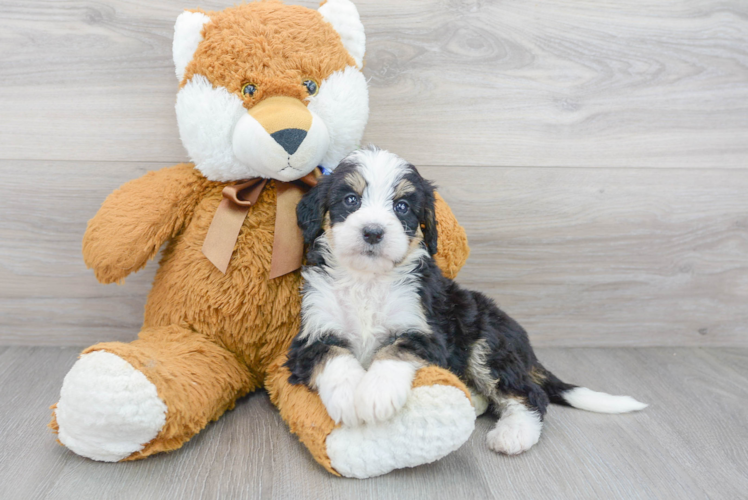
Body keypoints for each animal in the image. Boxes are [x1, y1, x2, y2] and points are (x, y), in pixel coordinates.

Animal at [284, 146, 644, 456]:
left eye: (402, 207)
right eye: (350, 199)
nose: (373, 232)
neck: (368, 280)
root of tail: (526, 349)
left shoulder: (427, 332)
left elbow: (395, 349)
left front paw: (375, 393)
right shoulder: (311, 333)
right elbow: (334, 356)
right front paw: (347, 396)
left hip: (487, 342)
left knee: (530, 394)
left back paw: (514, 433)